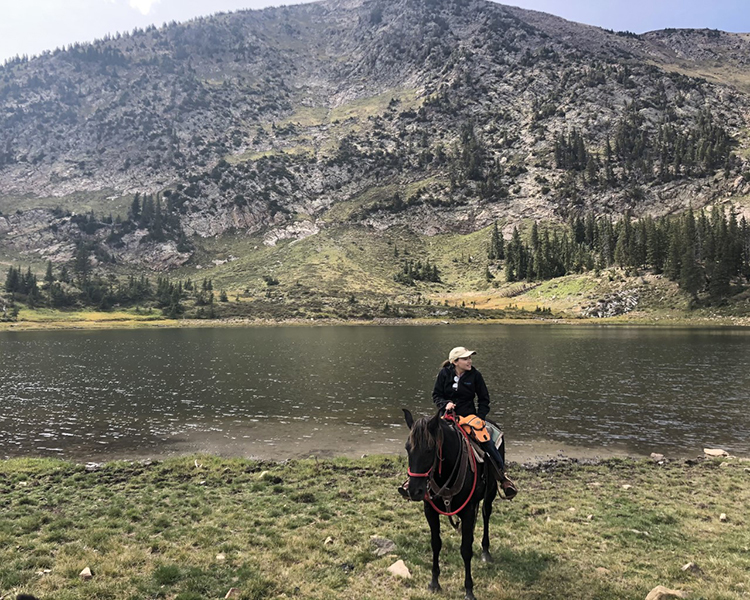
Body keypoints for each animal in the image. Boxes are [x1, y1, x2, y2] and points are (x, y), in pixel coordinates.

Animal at [406, 408, 500, 600]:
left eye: (429, 450)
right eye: (407, 448)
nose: (414, 491)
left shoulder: (468, 510)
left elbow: (465, 549)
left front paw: (469, 590)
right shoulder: (430, 511)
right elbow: (436, 543)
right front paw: (434, 582)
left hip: (491, 493)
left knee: (486, 514)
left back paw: (485, 552)